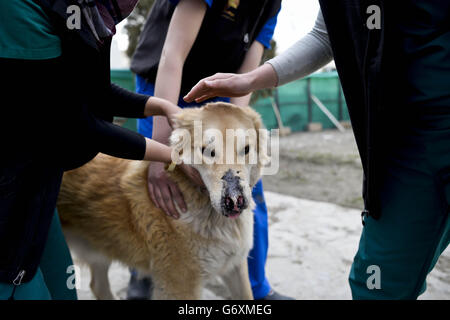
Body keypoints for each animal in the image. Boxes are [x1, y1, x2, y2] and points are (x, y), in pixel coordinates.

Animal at [55, 102, 268, 300]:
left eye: (246, 149)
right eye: (208, 151)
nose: (235, 200)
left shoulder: (236, 267)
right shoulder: (179, 286)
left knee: (97, 285)